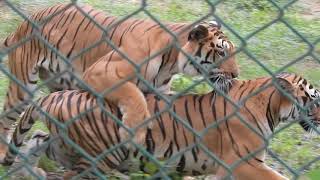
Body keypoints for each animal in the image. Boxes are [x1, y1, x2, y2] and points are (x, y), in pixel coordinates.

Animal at [0, 2, 239, 155]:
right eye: (221, 52)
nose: (236, 75)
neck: (171, 63)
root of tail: (23, 24)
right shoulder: (100, 71)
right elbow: (133, 93)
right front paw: (134, 131)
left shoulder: (159, 92)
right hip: (22, 88)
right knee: (6, 119)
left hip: (59, 84)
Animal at [3, 72, 318, 180]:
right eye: (314, 99)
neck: (272, 109)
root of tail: (53, 96)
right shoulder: (245, 163)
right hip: (102, 155)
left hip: (63, 144)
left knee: (35, 141)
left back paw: (28, 172)